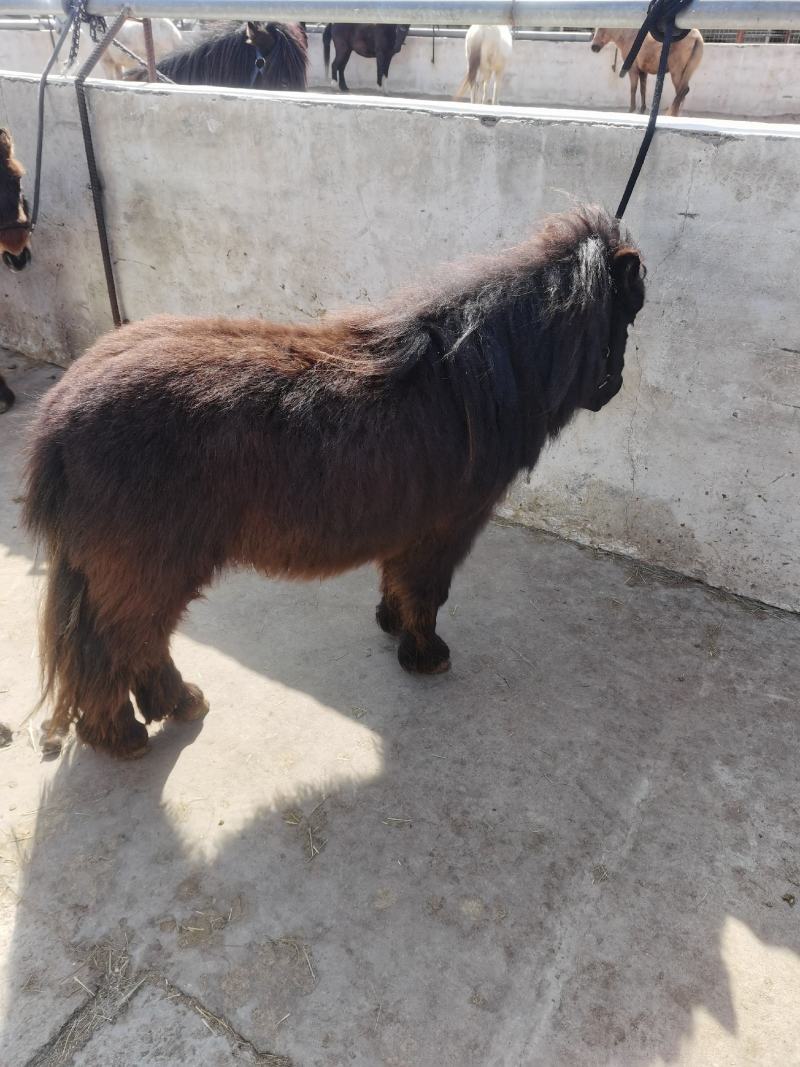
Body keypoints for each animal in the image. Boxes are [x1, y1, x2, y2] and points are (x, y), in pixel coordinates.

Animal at [24, 206, 645, 760]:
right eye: (626, 315)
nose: (613, 389)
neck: (466, 386)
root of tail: (60, 411)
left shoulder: (410, 530)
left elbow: (398, 583)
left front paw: (392, 626)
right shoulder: (445, 530)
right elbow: (429, 592)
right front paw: (426, 654)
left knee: (132, 644)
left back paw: (167, 708)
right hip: (149, 568)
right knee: (119, 645)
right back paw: (132, 730)